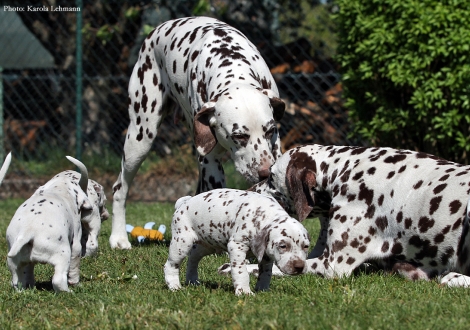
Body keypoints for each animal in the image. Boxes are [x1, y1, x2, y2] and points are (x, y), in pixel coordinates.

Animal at [6, 156, 109, 292]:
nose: (106, 214)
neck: (58, 190)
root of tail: (26, 233)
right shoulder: (76, 244)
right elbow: (77, 262)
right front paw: (76, 282)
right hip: (62, 255)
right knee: (58, 280)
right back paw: (68, 291)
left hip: (15, 262)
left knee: (18, 280)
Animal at [111, 16, 284, 249]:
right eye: (239, 136)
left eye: (270, 130)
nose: (265, 172)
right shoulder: (210, 161)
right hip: (139, 140)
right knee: (119, 187)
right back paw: (118, 237)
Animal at [163, 189, 310, 296]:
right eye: (283, 246)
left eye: (306, 247)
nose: (299, 267)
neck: (265, 215)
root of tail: (184, 203)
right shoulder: (237, 247)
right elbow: (241, 271)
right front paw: (244, 292)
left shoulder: (267, 255)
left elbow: (266, 273)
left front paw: (263, 290)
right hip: (182, 243)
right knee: (171, 265)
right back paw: (174, 286)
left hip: (206, 245)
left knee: (193, 259)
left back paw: (192, 281)